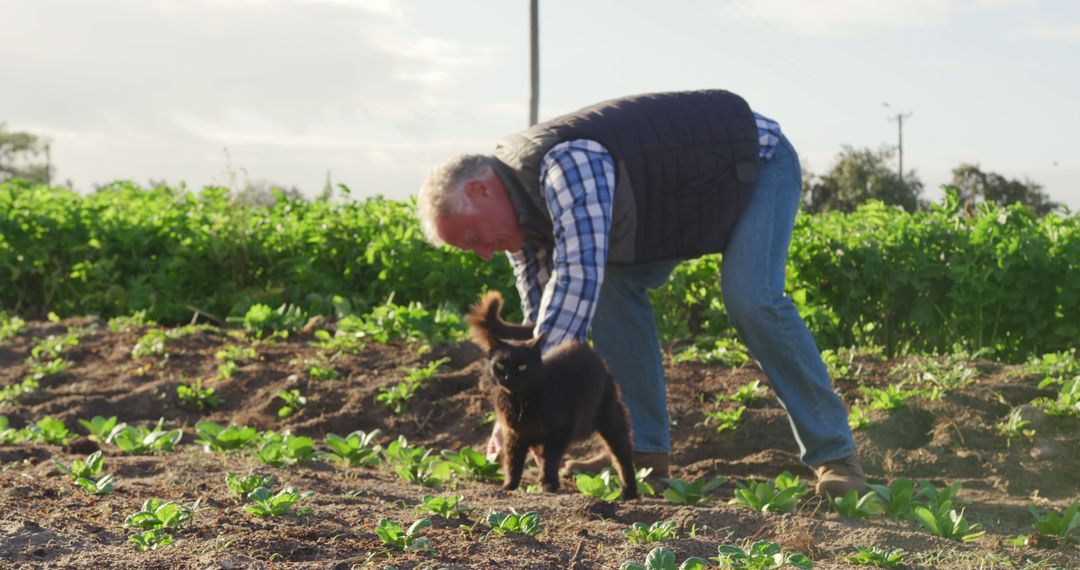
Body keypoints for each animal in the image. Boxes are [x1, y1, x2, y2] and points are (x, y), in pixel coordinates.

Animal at [466, 291, 635, 496]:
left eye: (522, 366)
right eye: (500, 365)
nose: (508, 377)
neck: (520, 401)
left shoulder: (559, 433)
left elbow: (549, 461)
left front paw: (547, 486)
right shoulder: (514, 436)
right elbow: (513, 463)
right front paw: (509, 487)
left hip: (611, 419)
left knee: (622, 455)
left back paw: (629, 493)